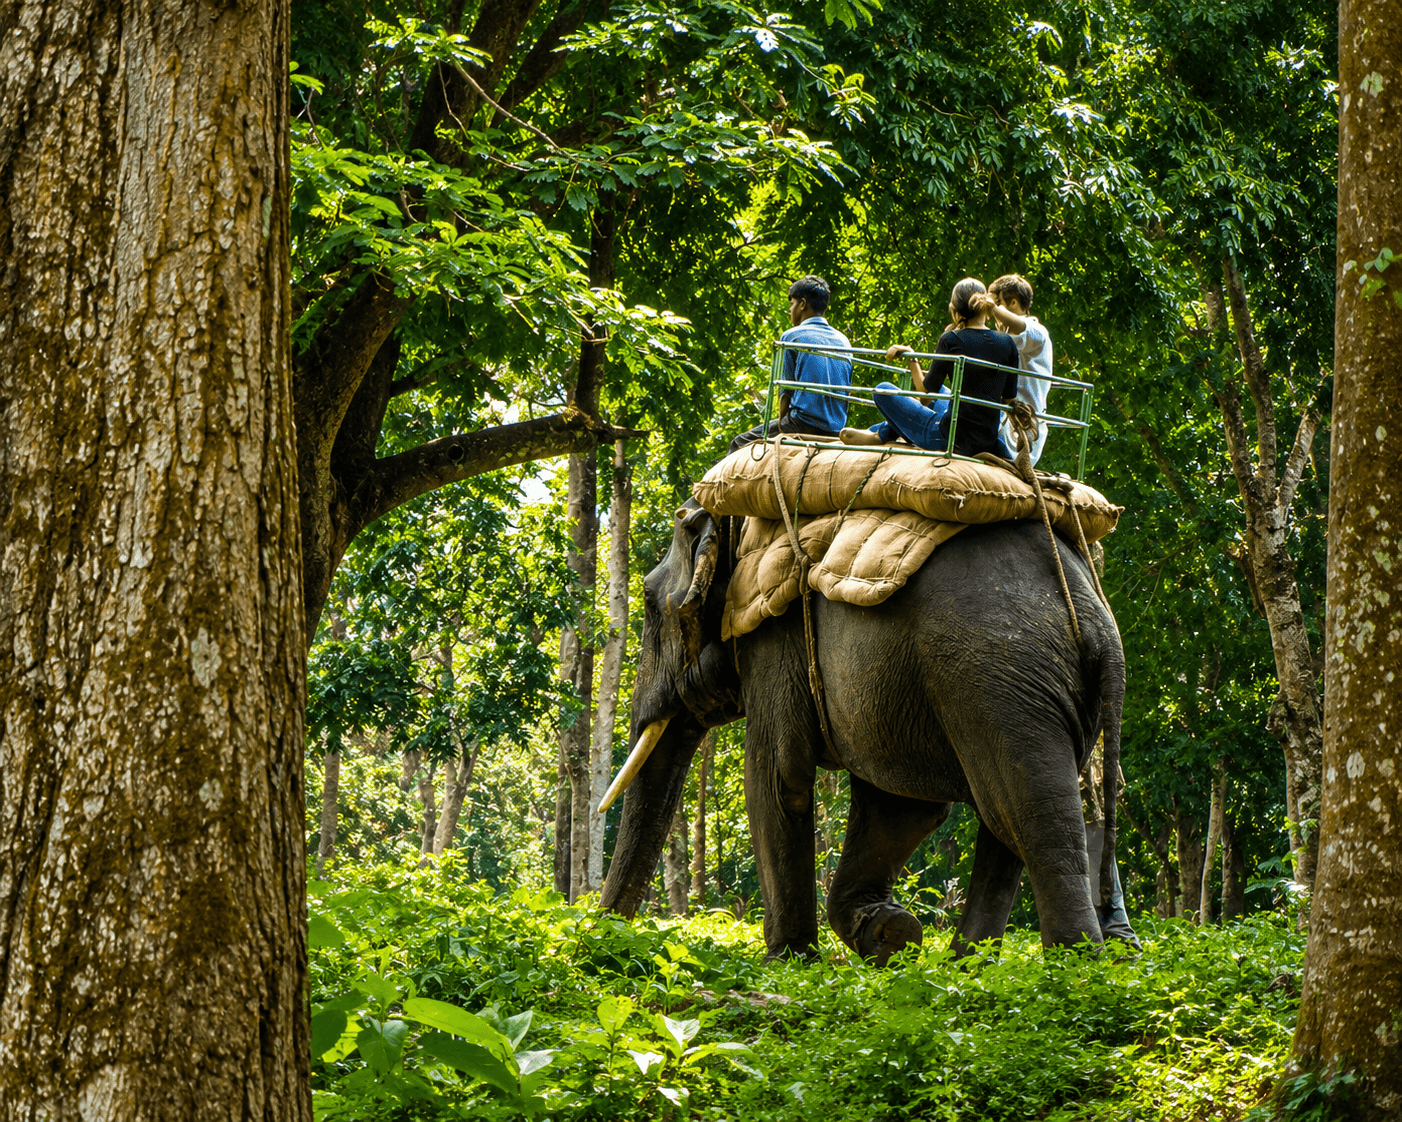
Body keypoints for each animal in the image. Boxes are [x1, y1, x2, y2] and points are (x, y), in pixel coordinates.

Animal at [599, 499, 1131, 963]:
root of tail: (1095, 618)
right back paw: (971, 967)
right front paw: (891, 933)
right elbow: (901, 809)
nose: (603, 935)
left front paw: (790, 960)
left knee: (1025, 813)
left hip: (994, 675)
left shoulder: (773, 633)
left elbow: (774, 779)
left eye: (648, 602)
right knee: (1010, 822)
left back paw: (1074, 966)